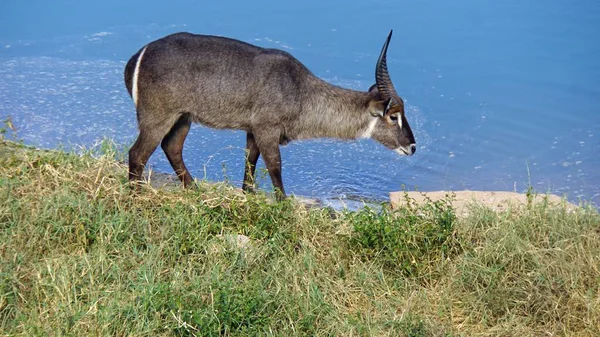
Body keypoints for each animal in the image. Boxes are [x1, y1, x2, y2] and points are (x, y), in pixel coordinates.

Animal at [124, 29, 414, 200]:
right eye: (393, 115)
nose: (412, 146)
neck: (300, 91)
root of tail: (137, 57)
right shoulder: (267, 129)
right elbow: (274, 165)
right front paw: (283, 204)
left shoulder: (253, 131)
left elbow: (250, 163)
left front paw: (249, 196)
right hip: (158, 116)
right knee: (137, 154)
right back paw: (135, 194)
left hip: (183, 117)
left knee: (171, 147)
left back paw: (194, 189)